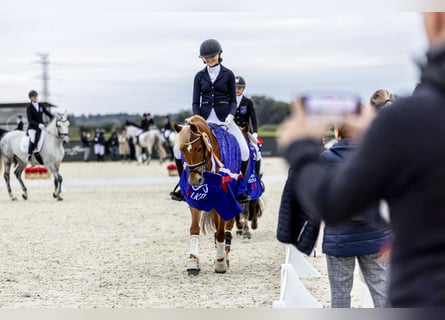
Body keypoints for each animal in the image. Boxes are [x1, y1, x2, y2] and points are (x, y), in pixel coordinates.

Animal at [173, 116, 241, 276]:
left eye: (199, 148)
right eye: (182, 150)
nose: (194, 181)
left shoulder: (223, 200)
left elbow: (221, 231)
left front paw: (220, 262)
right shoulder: (195, 199)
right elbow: (194, 228)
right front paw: (193, 261)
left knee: (227, 227)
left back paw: (225, 257)